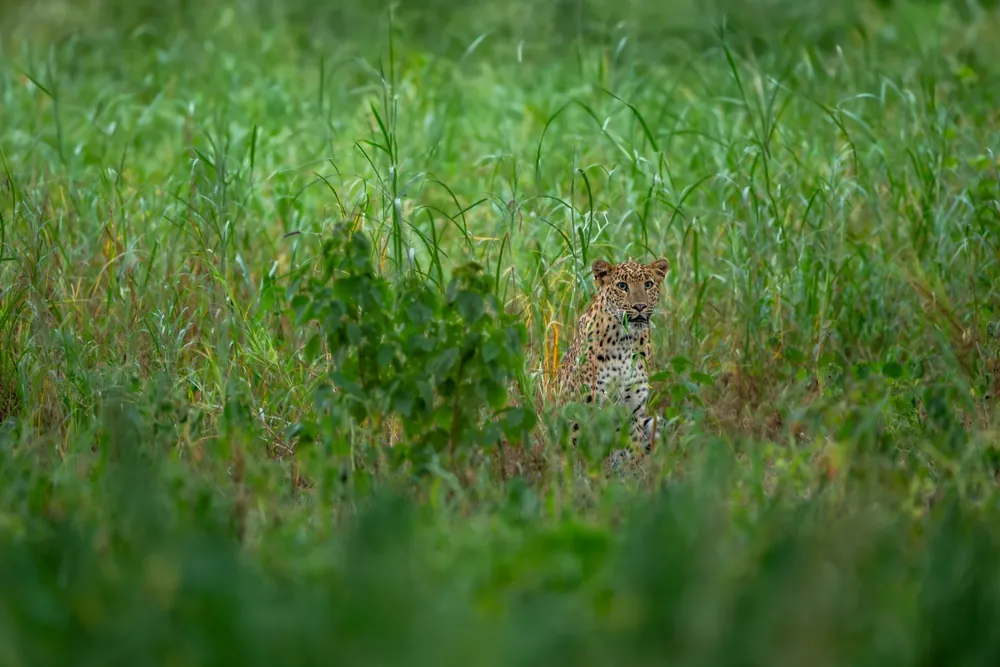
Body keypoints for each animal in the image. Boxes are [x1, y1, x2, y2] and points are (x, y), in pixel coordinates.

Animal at [553, 257, 671, 467]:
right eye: (622, 286)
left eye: (648, 284)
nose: (639, 306)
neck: (624, 340)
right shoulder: (585, 403)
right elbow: (584, 449)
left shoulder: (633, 407)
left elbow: (632, 446)